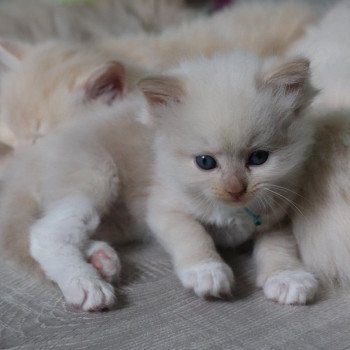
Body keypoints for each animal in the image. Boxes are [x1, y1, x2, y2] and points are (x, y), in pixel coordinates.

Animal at [0, 48, 318, 308]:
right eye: (205, 162)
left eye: (259, 158)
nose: (235, 189)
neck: (232, 212)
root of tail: (29, 160)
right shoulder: (163, 209)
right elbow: (192, 234)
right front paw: (207, 271)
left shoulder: (277, 216)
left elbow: (278, 245)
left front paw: (289, 277)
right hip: (95, 177)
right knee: (45, 234)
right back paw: (87, 284)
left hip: (116, 219)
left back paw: (101, 259)